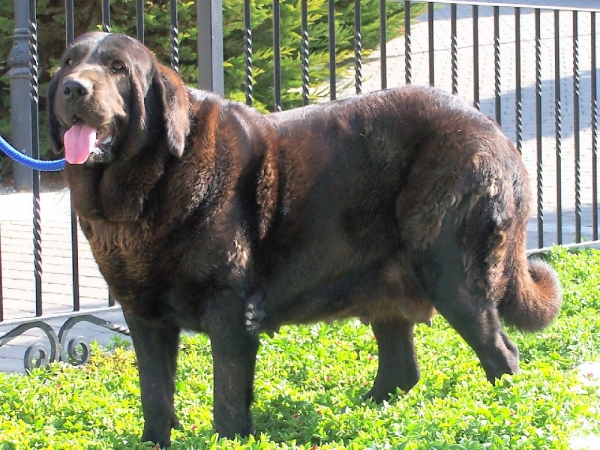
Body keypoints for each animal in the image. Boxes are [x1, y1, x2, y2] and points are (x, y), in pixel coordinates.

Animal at [48, 32, 564, 446]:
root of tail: (494, 131)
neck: (147, 187)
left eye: (118, 68)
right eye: (70, 63)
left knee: (502, 355)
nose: (74, 87)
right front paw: (154, 442)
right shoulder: (144, 317)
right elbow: (154, 393)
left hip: (452, 273)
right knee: (402, 368)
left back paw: (503, 411)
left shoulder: (229, 309)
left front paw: (230, 440)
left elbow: (227, 396)